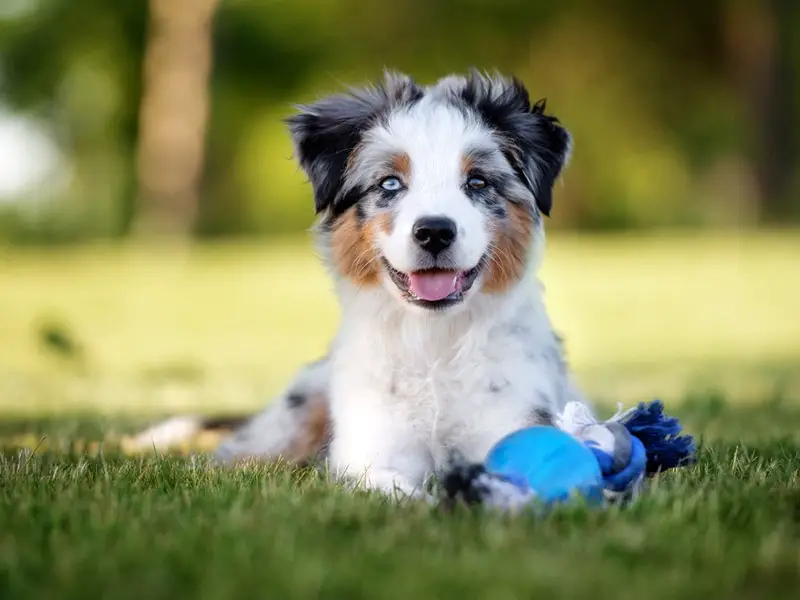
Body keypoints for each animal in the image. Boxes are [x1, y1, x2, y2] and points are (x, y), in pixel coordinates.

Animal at [134, 70, 592, 500]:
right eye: (389, 183)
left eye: (477, 182)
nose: (434, 232)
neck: (432, 343)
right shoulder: (369, 455)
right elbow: (401, 494)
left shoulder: (511, 421)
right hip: (292, 418)